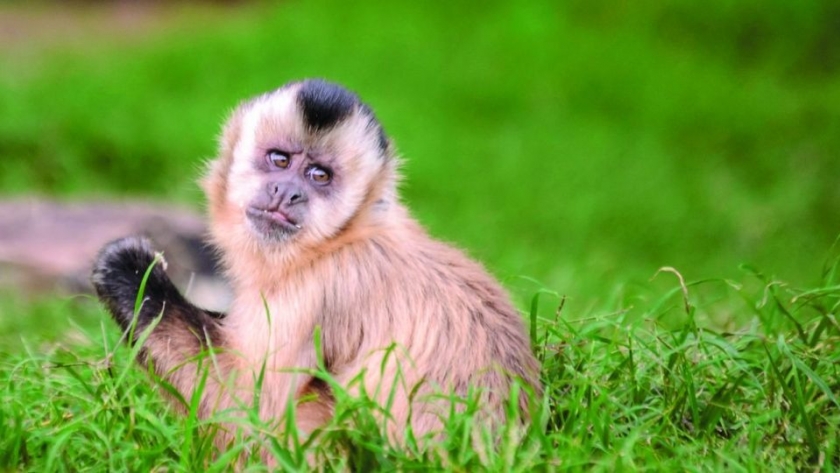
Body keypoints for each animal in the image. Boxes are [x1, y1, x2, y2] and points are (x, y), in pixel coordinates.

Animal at [91, 79, 542, 449]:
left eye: (318, 175)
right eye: (280, 160)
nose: (287, 192)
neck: (340, 240)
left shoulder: (319, 287)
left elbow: (251, 411)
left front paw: (130, 274)